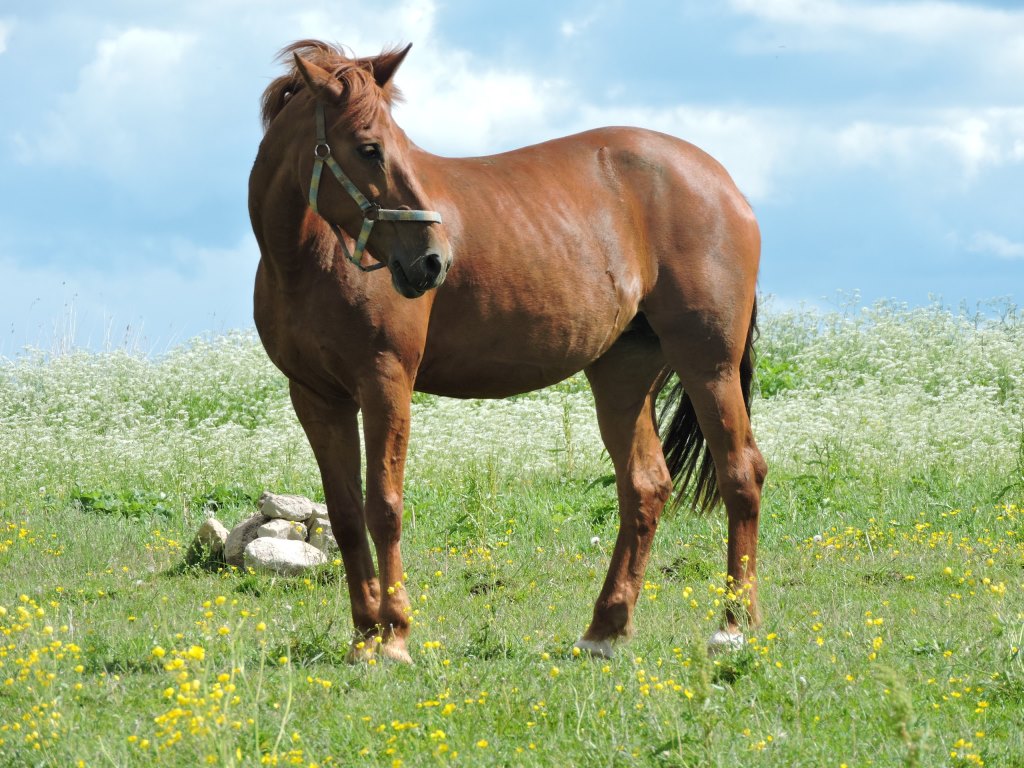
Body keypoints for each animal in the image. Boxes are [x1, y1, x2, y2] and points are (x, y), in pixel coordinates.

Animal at [247, 40, 765, 663]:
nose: (433, 260)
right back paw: (605, 629)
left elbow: (384, 508)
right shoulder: (317, 398)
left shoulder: (385, 382)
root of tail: (723, 182)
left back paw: (733, 626)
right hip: (622, 371)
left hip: (708, 363)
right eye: (369, 147)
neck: (311, 259)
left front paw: (394, 636)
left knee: (741, 474)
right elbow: (346, 517)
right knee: (645, 486)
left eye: (399, 144)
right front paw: (365, 638)